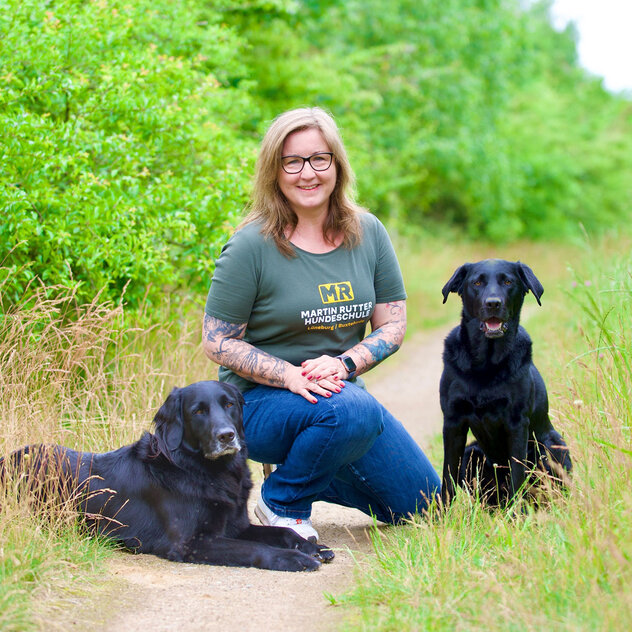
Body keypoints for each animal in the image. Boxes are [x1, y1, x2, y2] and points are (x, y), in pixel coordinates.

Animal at [0, 380, 334, 572]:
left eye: (229, 405)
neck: (202, 470)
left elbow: (281, 533)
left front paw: (311, 547)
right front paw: (296, 559)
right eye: (198, 411)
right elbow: (257, 548)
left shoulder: (235, 526)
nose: (226, 436)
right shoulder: (191, 542)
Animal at [440, 260, 572, 506]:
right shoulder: (453, 422)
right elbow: (447, 478)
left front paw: (515, 513)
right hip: (472, 451)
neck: (485, 365)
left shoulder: (517, 423)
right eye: (477, 282)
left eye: (508, 282)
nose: (493, 303)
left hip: (551, 445)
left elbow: (517, 476)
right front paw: (443, 515)